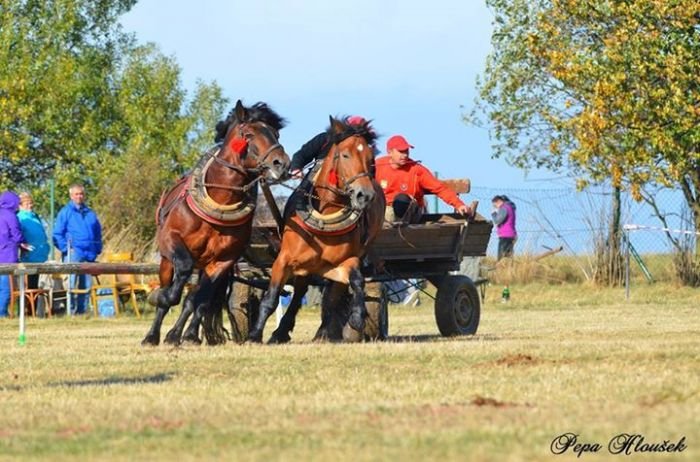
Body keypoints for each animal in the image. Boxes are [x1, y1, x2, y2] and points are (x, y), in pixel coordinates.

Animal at [143, 102, 290, 346]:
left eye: (276, 134)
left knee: (196, 300)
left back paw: (184, 334)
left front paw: (183, 334)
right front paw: (161, 298)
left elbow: (199, 300)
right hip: (166, 260)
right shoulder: (170, 239)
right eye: (249, 134)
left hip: (207, 266)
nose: (282, 163)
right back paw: (152, 334)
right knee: (170, 283)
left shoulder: (223, 261)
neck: (220, 201)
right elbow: (181, 274)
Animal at [246, 116, 386, 342]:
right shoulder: (284, 259)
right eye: (345, 155)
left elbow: (357, 281)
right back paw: (281, 332)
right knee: (300, 293)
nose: (365, 195)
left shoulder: (346, 261)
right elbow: (271, 297)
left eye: (370, 158)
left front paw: (357, 317)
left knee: (330, 298)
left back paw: (322, 332)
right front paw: (255, 334)